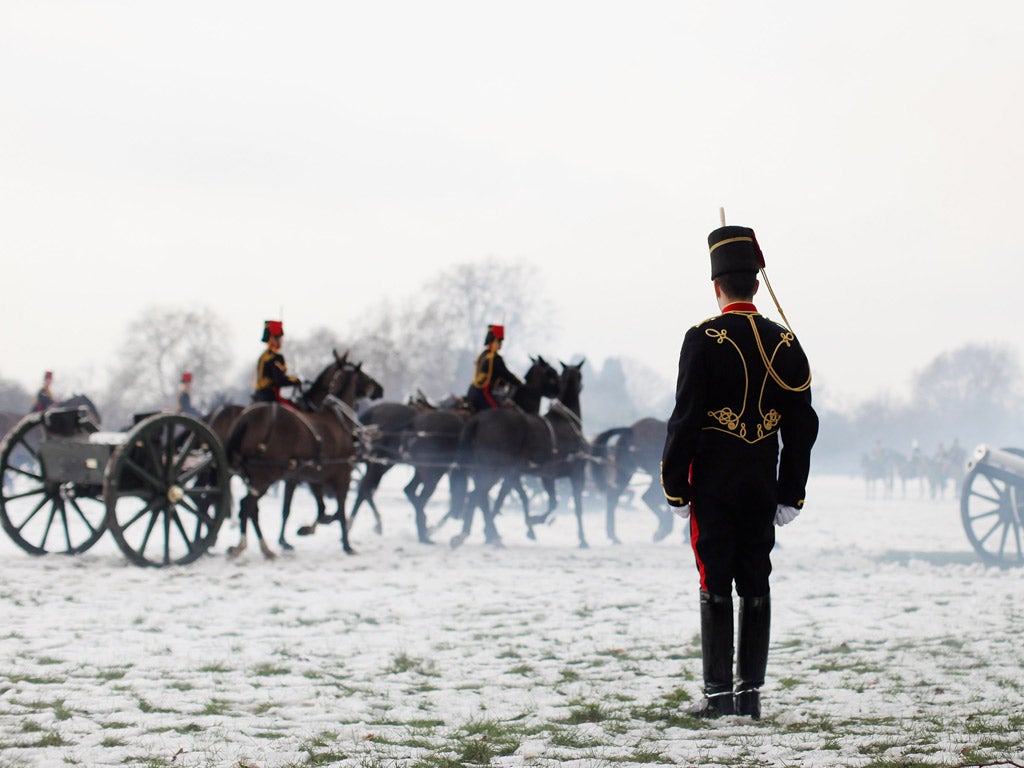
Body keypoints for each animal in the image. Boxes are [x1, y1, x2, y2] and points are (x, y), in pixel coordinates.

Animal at [224, 350, 380, 561]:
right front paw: (346, 544)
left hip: (254, 477)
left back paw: (262, 547)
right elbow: (339, 510)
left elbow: (318, 510)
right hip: (264, 478)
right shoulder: (341, 476)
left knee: (251, 509)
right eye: (364, 374)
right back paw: (245, 545)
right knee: (247, 506)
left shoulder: (311, 477)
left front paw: (302, 532)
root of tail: (246, 418)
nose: (380, 389)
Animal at [452, 360, 589, 548]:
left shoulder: (542, 476)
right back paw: (474, 534)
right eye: (551, 373)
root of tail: (477, 420)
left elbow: (547, 501)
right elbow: (575, 507)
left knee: (477, 496)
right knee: (476, 495)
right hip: (492, 471)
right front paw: (582, 538)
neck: (567, 422)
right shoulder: (576, 474)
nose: (555, 391)